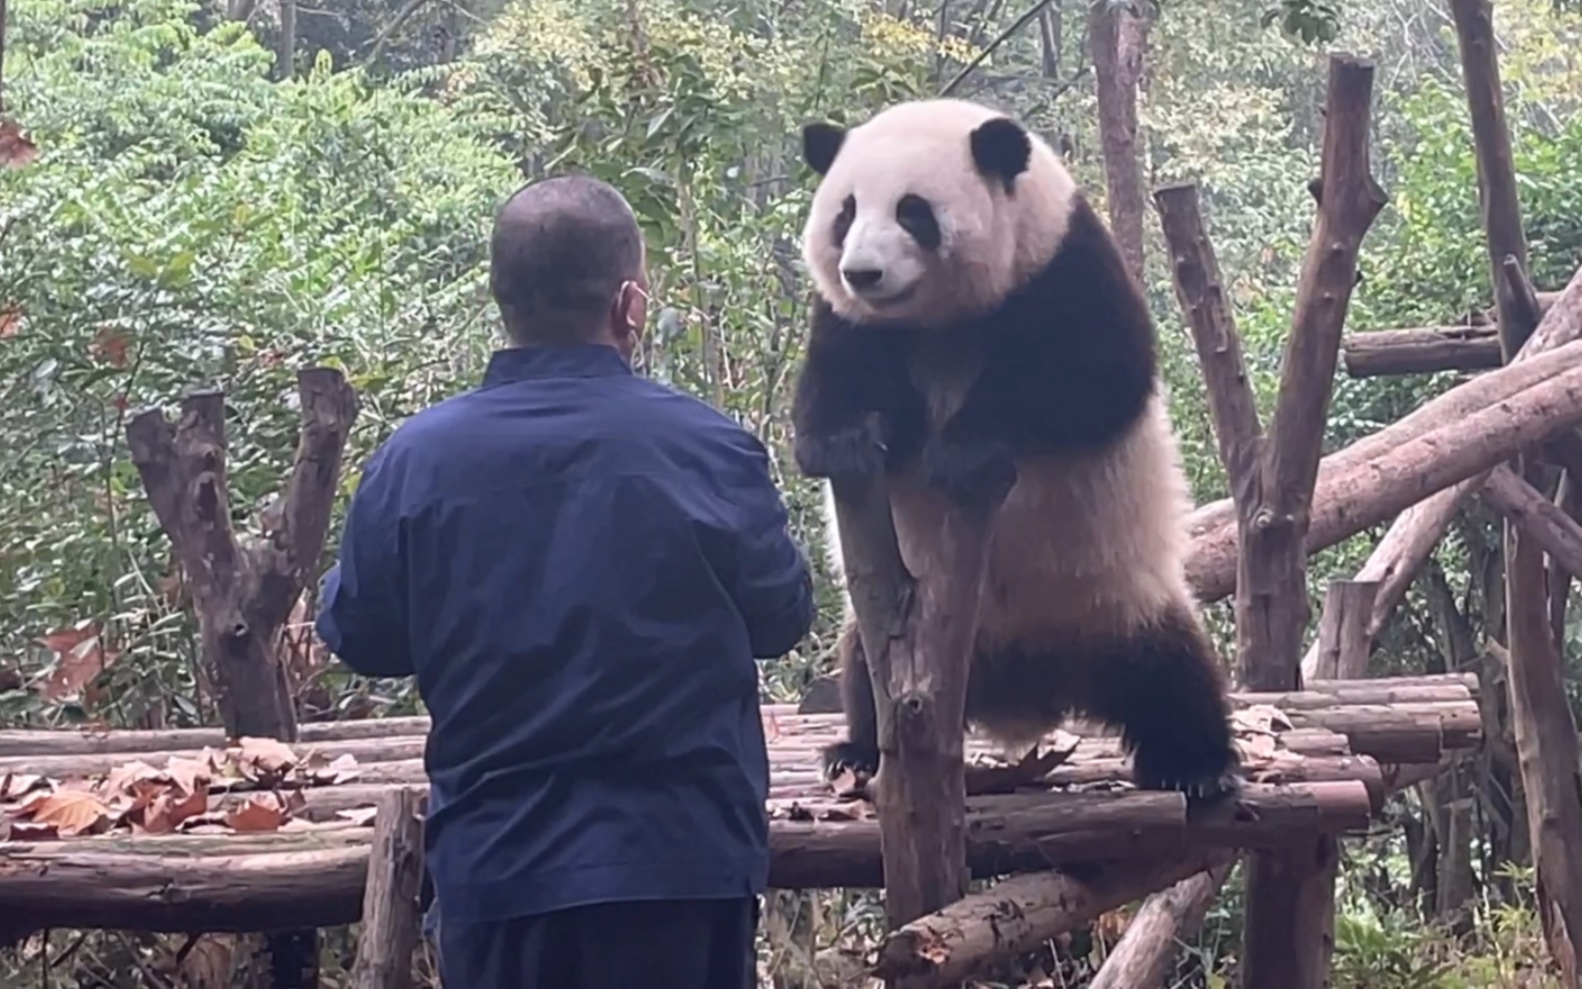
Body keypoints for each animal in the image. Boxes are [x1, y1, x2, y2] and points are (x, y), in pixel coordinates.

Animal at [797, 96, 1240, 797]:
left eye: (912, 211)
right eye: (845, 213)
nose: (861, 272)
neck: (939, 320)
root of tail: (1025, 691)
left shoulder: (1062, 264)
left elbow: (1093, 373)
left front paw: (960, 450)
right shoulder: (856, 323)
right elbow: (840, 376)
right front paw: (846, 444)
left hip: (1117, 600)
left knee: (1173, 674)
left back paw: (1196, 764)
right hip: (896, 637)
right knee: (864, 676)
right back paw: (856, 752)